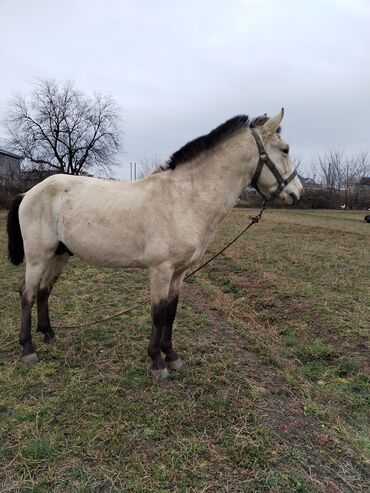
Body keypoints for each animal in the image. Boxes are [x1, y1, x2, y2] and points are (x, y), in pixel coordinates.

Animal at [7, 108, 302, 376]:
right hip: (38, 257)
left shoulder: (180, 271)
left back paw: (50, 335)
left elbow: (171, 312)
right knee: (27, 293)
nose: (297, 193)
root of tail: (29, 192)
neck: (184, 199)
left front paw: (171, 356)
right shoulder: (161, 269)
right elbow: (158, 313)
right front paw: (157, 362)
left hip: (59, 254)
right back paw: (28, 349)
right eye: (285, 149)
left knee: (44, 291)